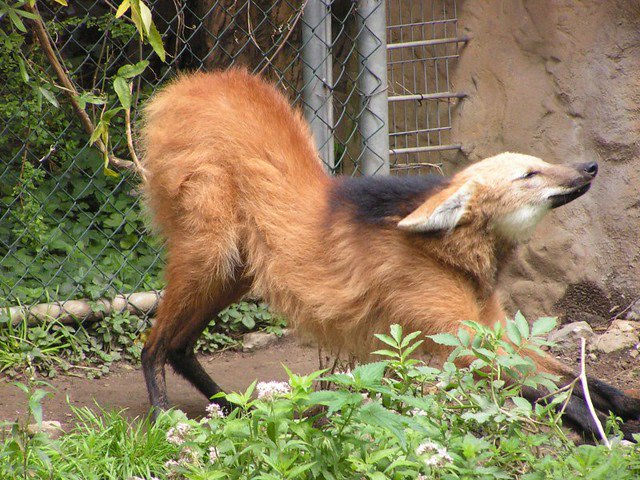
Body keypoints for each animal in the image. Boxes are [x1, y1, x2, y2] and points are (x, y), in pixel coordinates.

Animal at [139, 69, 640, 439]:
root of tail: (187, 85)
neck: (457, 253)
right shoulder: (457, 339)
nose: (590, 166)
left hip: (237, 272)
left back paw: (230, 405)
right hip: (212, 255)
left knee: (180, 346)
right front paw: (608, 430)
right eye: (530, 175)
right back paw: (166, 418)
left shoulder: (491, 326)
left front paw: (627, 406)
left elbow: (576, 377)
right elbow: (552, 389)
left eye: (538, 164)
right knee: (153, 344)